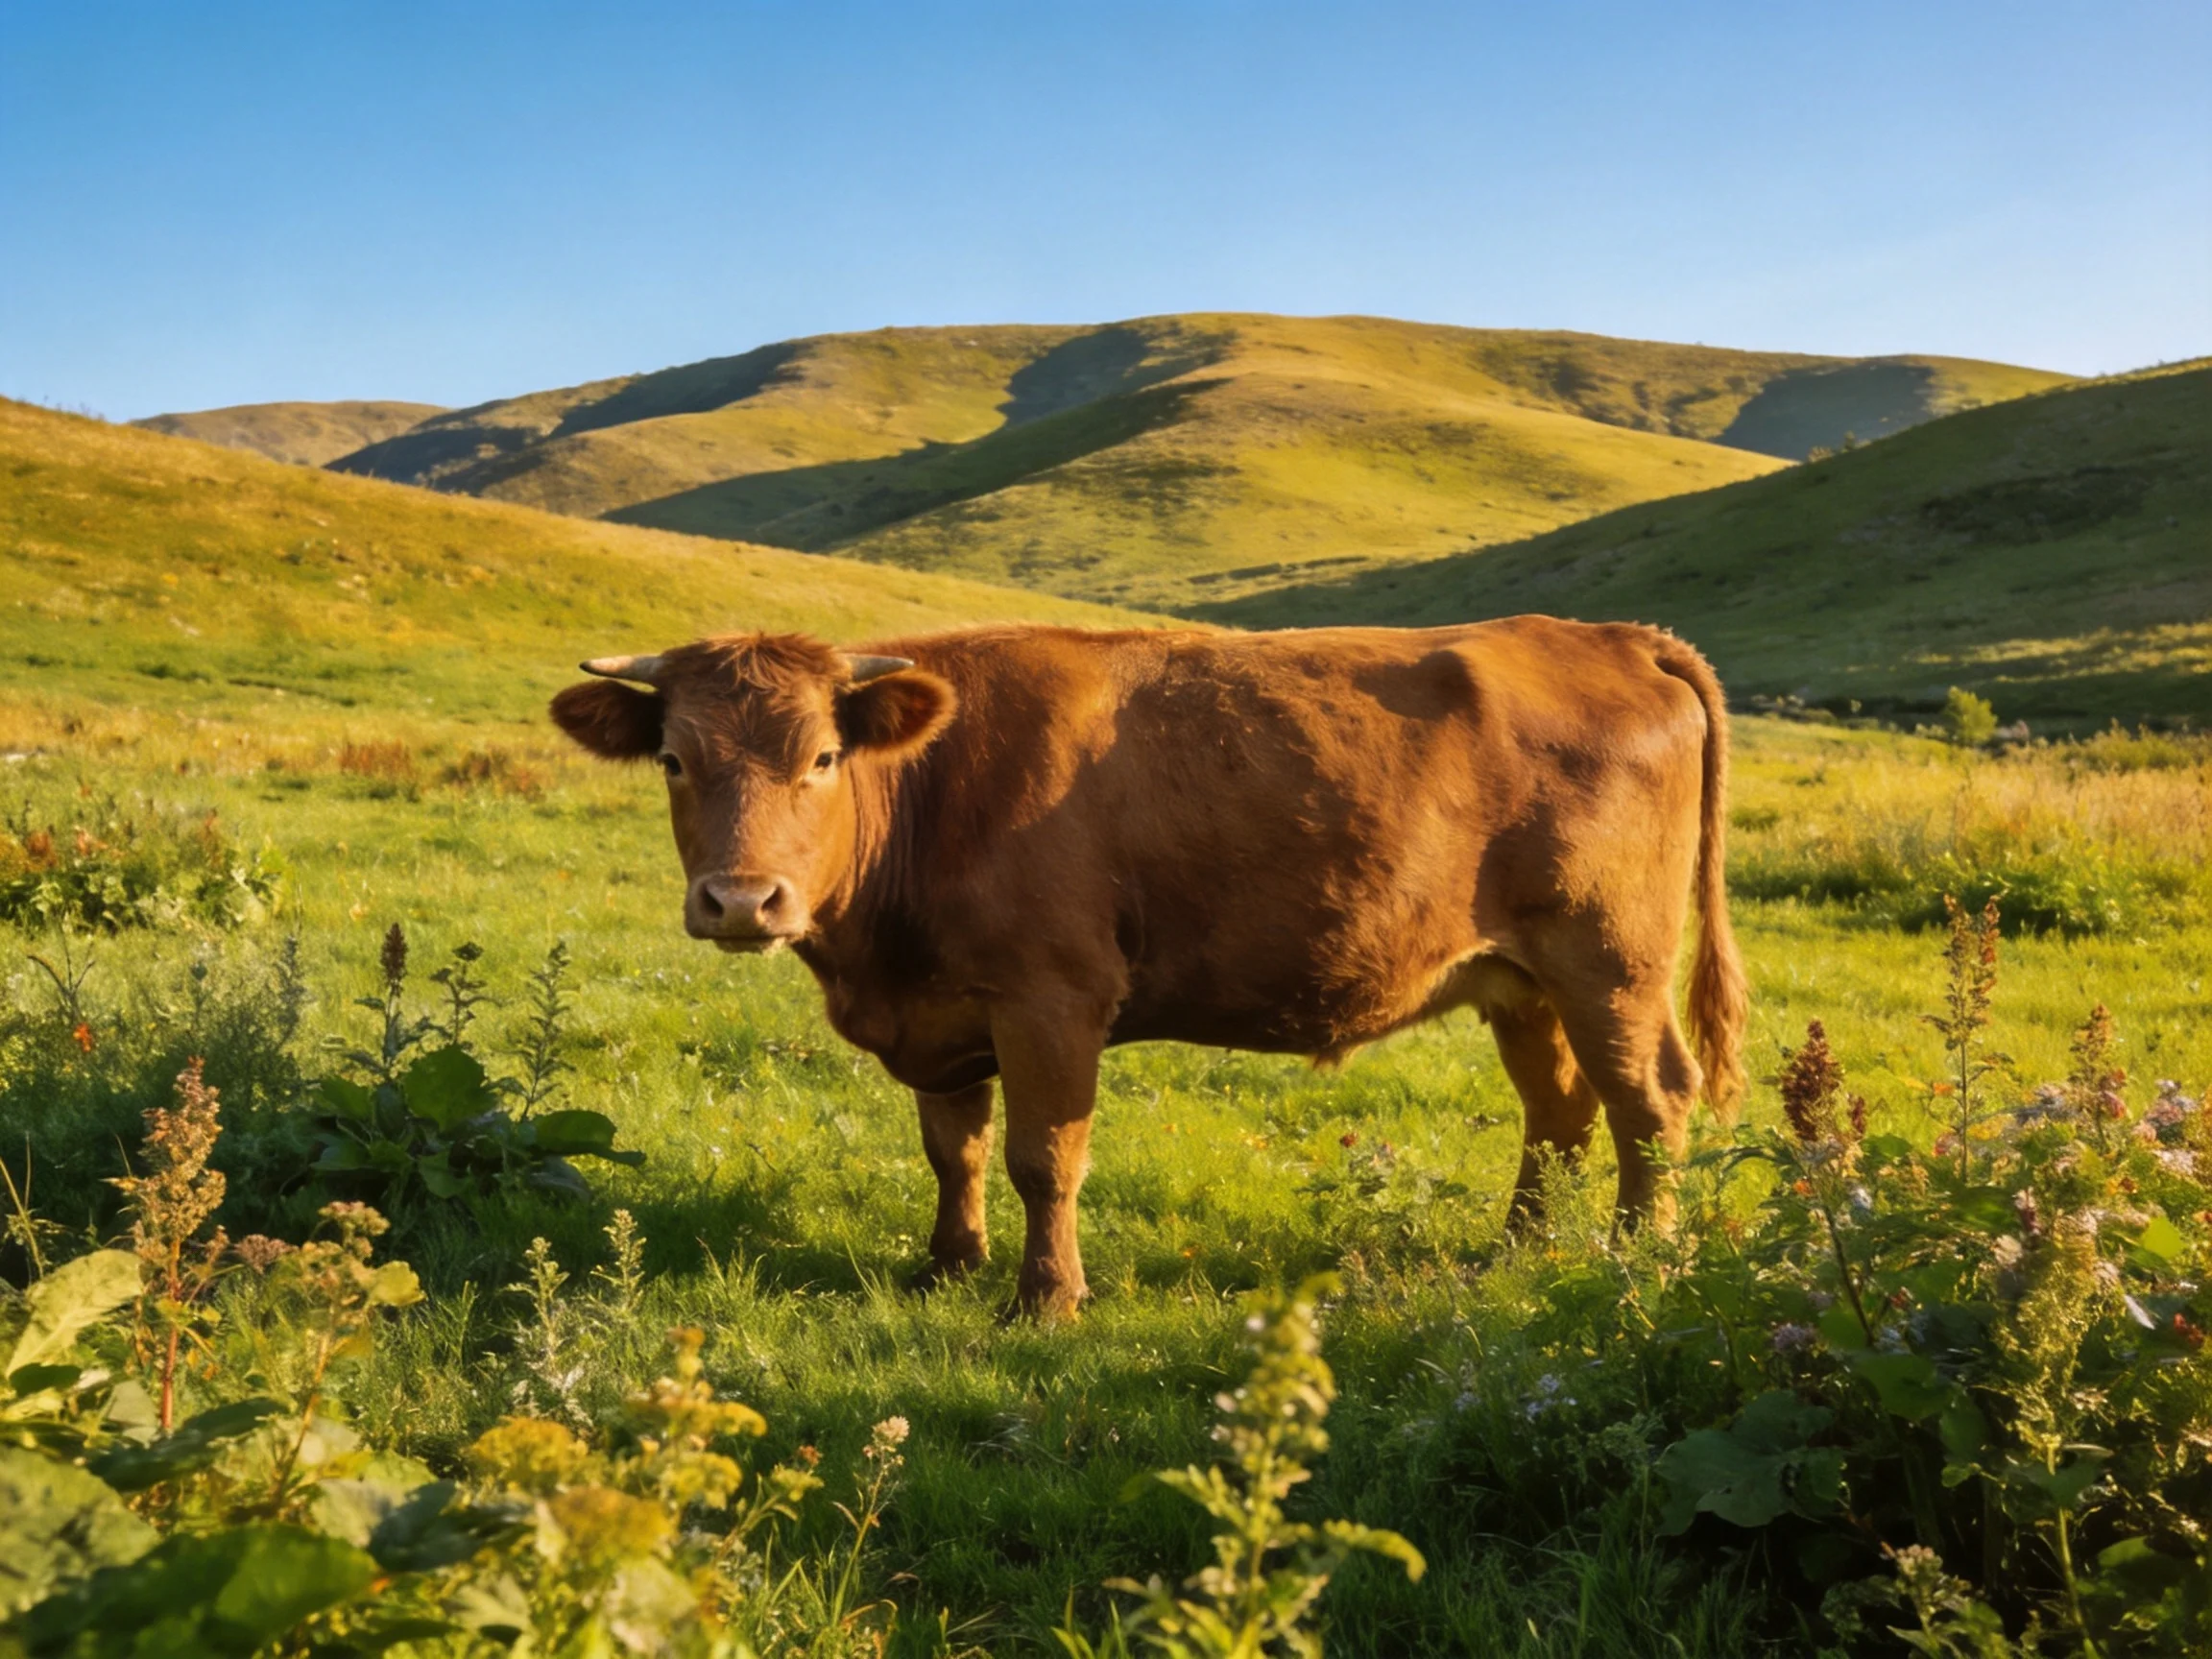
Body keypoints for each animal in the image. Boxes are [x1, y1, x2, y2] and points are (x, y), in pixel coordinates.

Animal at [550, 619, 1748, 1317]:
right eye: (673, 759)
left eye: (824, 757)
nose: (742, 900)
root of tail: (1613, 636)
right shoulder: (944, 1014)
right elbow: (954, 1150)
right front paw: (947, 1266)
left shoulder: (1051, 998)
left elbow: (1044, 1158)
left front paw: (1045, 1300)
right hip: (1518, 976)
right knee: (1559, 1108)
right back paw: (1515, 1251)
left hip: (1610, 961)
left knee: (1649, 1101)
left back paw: (1636, 1258)